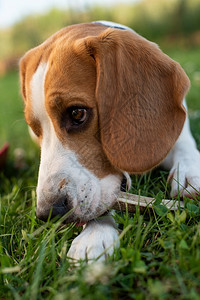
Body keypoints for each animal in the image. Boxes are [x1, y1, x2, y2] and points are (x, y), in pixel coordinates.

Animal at [19, 20, 200, 260]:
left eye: (77, 113)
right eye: (35, 128)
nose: (48, 213)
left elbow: (184, 145)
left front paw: (190, 173)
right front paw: (95, 234)